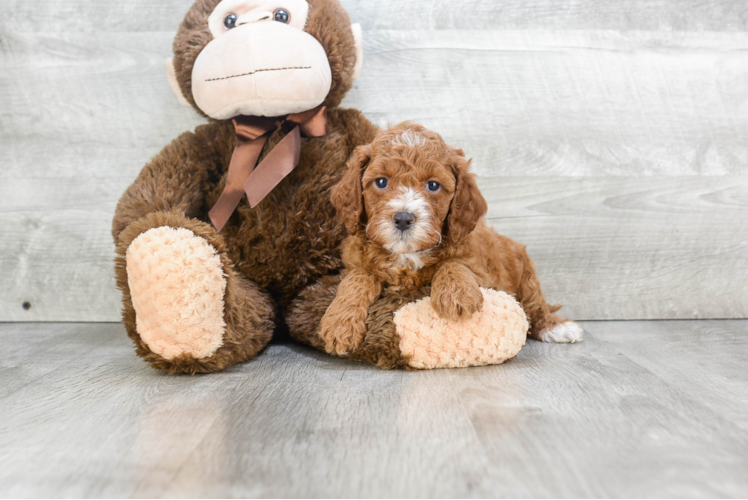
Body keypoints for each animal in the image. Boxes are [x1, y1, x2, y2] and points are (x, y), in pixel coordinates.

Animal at [318, 121, 580, 356]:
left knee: (535, 306)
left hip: (524, 271)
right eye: (381, 182)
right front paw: (339, 324)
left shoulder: (483, 272)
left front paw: (457, 295)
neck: (407, 256)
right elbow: (358, 277)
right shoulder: (353, 262)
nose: (403, 218)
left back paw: (557, 326)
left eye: (433, 185)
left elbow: (454, 264)